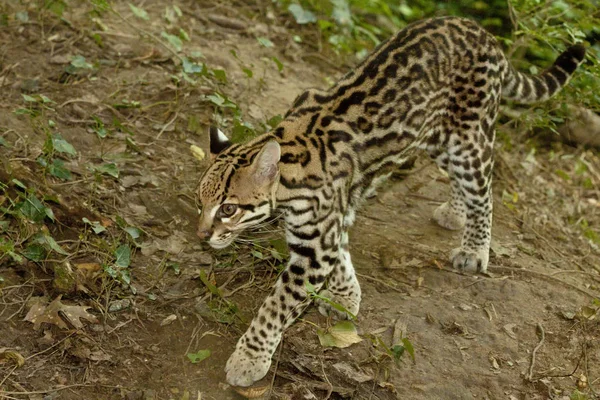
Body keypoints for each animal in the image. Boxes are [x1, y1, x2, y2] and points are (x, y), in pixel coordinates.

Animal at [197, 16, 584, 388]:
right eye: (200, 201)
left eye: (228, 209)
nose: (201, 235)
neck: (290, 168)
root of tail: (483, 33)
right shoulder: (333, 220)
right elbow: (342, 251)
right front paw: (346, 295)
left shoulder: (316, 247)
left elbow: (276, 306)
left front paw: (249, 359)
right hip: (436, 137)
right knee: (460, 180)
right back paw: (455, 212)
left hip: (470, 139)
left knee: (484, 190)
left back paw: (475, 248)